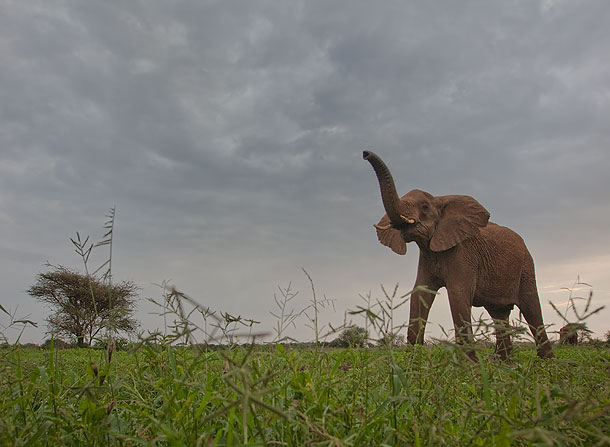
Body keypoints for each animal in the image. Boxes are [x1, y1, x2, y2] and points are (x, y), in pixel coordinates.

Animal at [364, 151, 552, 360]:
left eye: (424, 207)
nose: (365, 153)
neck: (440, 200)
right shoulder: (428, 256)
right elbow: (420, 294)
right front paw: (412, 362)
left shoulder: (463, 253)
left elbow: (458, 294)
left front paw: (470, 364)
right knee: (499, 315)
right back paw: (504, 362)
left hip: (526, 266)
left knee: (531, 308)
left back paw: (545, 362)